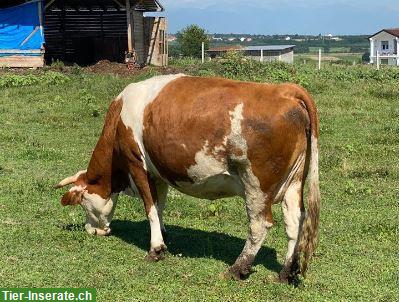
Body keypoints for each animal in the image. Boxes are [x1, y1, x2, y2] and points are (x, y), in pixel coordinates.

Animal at [56, 73, 320, 284]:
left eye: (83, 203)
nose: (92, 231)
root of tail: (286, 90)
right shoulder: (158, 172)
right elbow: (159, 206)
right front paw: (163, 234)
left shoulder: (137, 164)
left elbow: (150, 207)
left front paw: (156, 249)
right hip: (294, 181)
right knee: (295, 221)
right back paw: (286, 272)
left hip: (256, 184)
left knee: (259, 224)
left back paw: (237, 268)